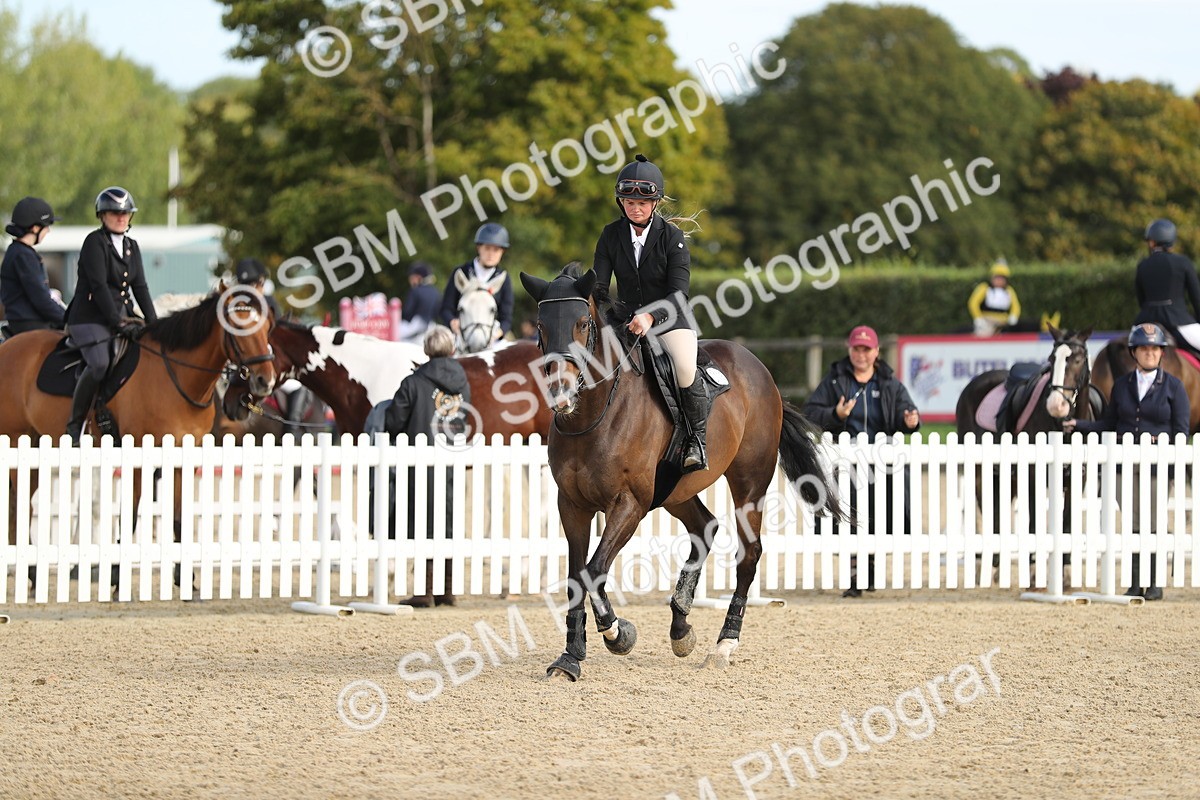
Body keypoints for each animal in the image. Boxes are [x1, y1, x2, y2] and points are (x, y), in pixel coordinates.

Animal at [0, 287, 276, 563]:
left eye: (268, 327)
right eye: (237, 327)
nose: (265, 381)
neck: (176, 376)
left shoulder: (182, 459)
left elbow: (178, 521)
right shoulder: (137, 456)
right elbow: (128, 519)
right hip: (15, 442)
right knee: (19, 506)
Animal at [520, 263, 844, 681]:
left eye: (581, 323)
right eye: (541, 327)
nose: (560, 393)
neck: (594, 413)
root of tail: (762, 371)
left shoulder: (629, 504)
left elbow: (593, 571)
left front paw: (618, 634)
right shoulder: (572, 505)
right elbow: (578, 577)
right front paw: (570, 657)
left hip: (749, 482)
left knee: (749, 553)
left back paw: (724, 644)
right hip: (676, 491)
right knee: (705, 527)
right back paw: (681, 627)